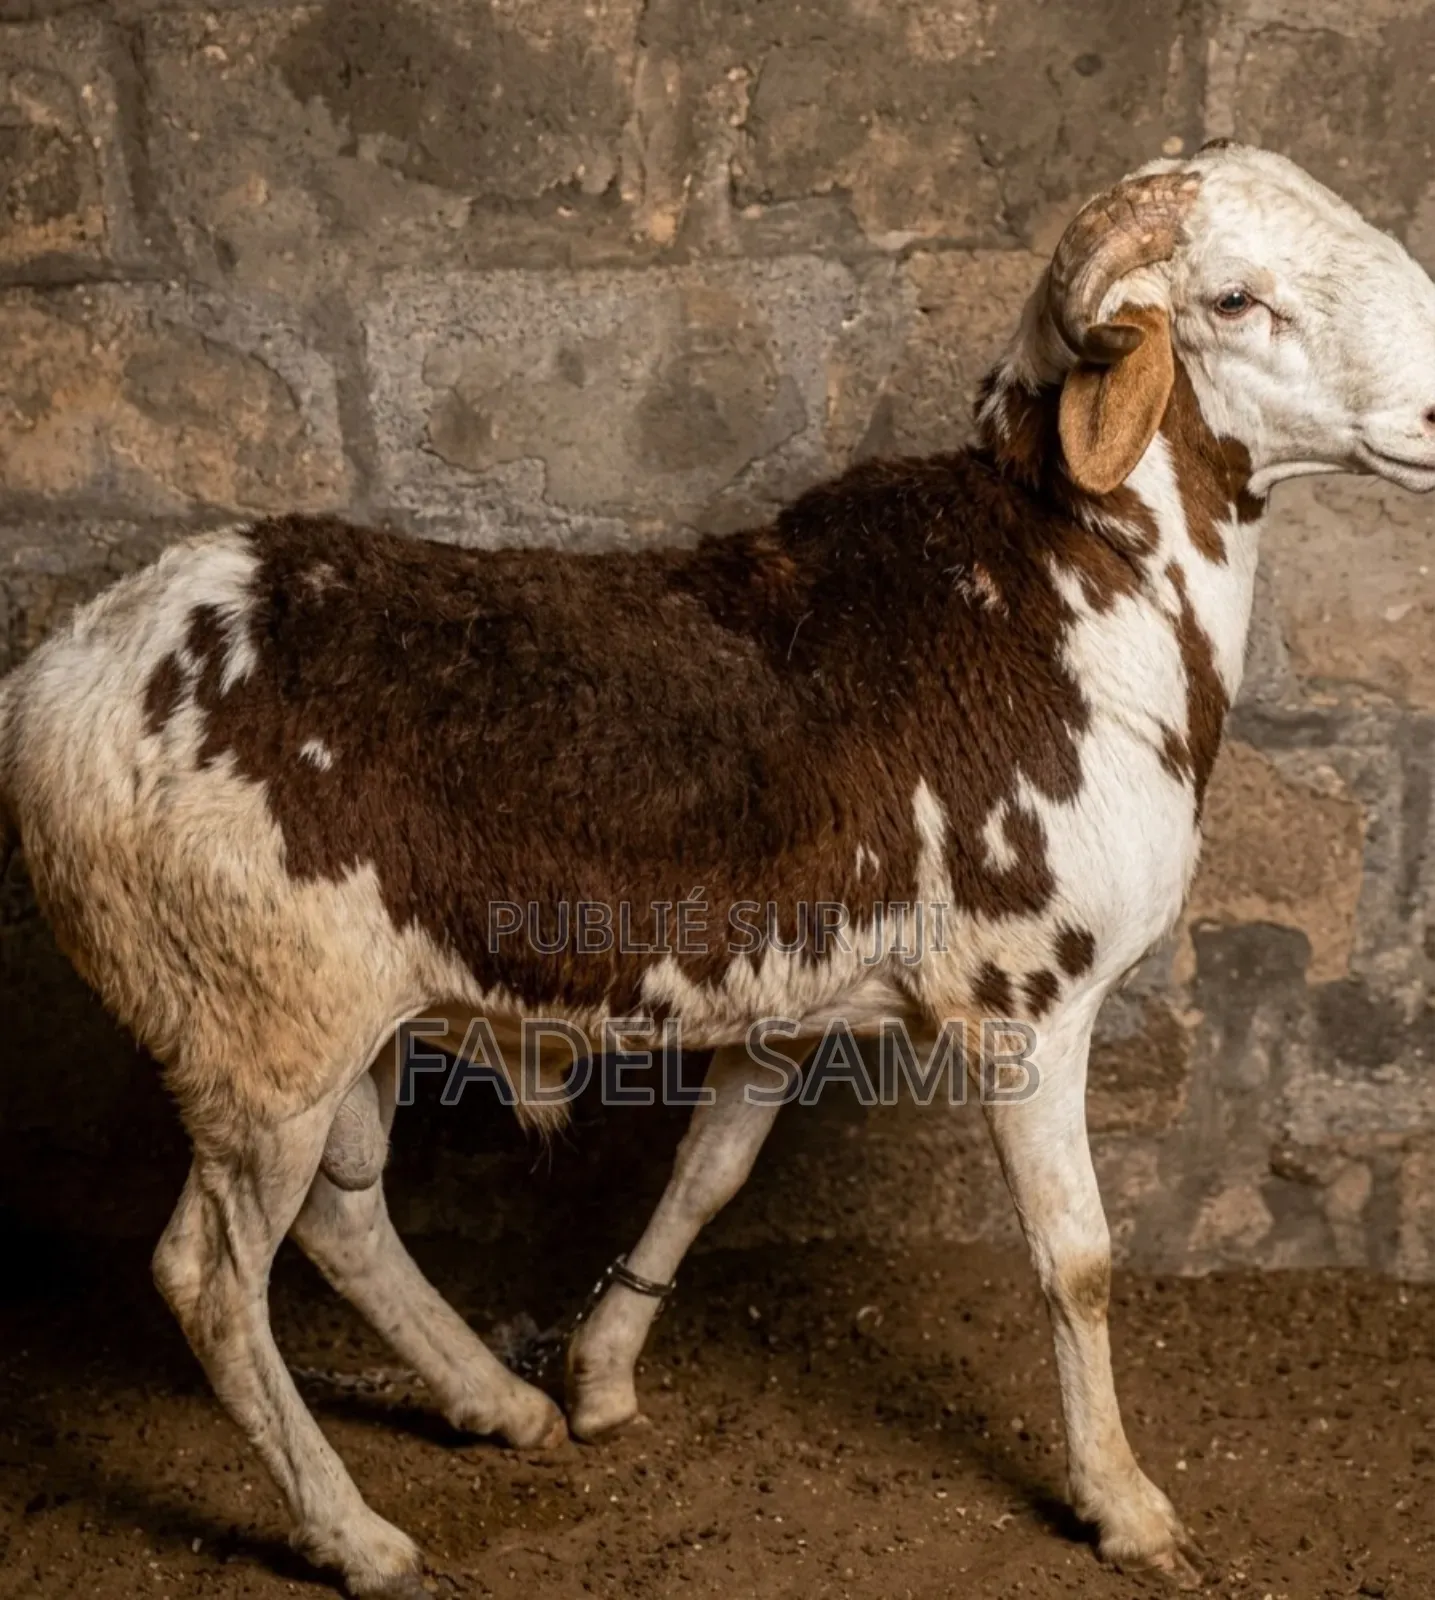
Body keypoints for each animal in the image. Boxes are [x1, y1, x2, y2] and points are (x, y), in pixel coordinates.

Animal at [2, 140, 1434, 1596]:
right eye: (1233, 299)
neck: (1078, 594)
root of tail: (61, 676)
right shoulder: (1027, 1007)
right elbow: (1076, 1261)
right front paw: (1124, 1507)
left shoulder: (791, 1006)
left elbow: (705, 1175)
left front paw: (599, 1381)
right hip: (256, 1034)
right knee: (210, 1280)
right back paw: (358, 1535)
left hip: (340, 1026)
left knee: (340, 1224)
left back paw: (497, 1405)